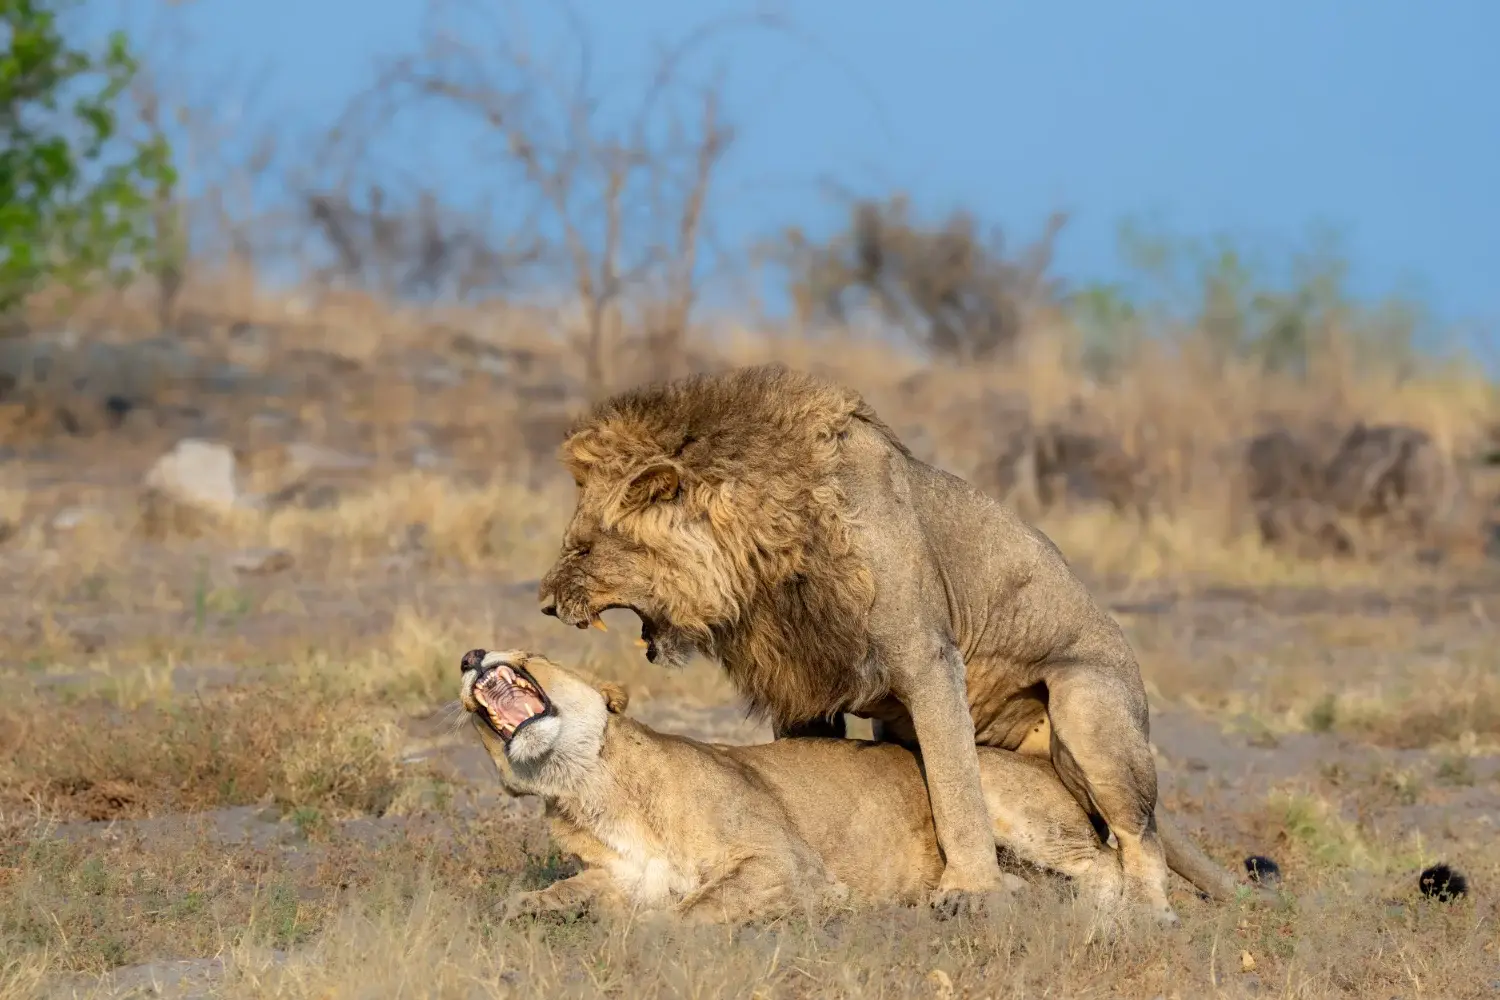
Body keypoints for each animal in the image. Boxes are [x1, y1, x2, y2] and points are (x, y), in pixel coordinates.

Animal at [458, 648, 1271, 924]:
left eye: (526, 653)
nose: (470, 656)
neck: (587, 786)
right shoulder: (613, 872)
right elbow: (568, 891)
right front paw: (525, 907)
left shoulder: (781, 862)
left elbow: (695, 908)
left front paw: (650, 932)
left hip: (1000, 795)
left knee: (1107, 861)